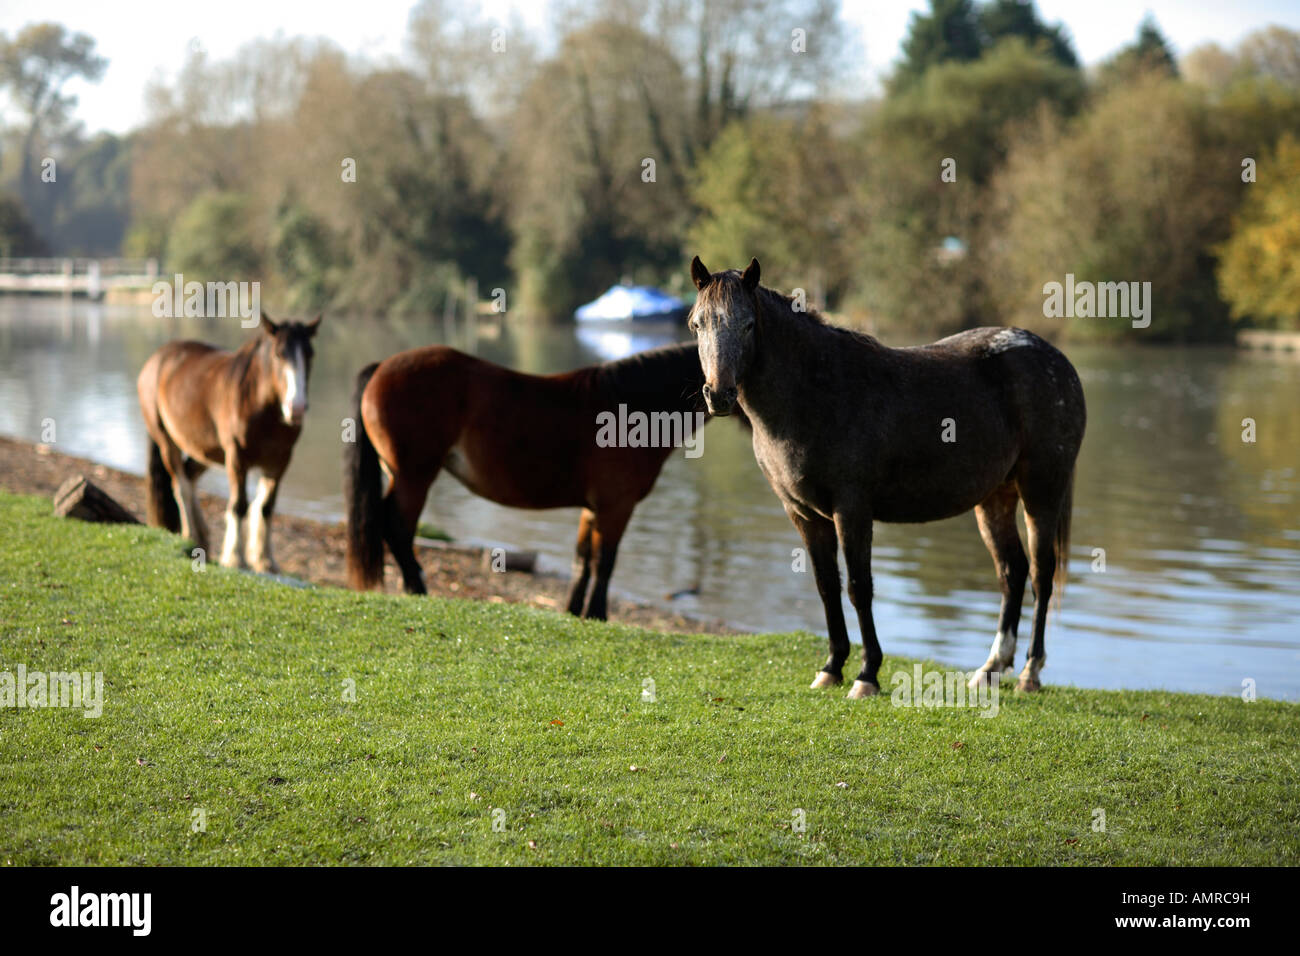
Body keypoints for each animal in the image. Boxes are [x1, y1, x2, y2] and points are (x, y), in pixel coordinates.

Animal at [136, 314, 319, 572]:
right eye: (278, 354)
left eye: (310, 354)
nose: (297, 408)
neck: (262, 407)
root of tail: (157, 358)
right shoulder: (237, 458)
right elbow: (239, 505)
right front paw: (235, 558)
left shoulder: (280, 461)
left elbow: (266, 507)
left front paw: (265, 559)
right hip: (166, 441)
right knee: (180, 484)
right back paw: (191, 536)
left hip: (204, 450)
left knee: (189, 477)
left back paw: (201, 538)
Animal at [691, 257, 1086, 697]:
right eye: (697, 324)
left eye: (748, 324)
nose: (718, 395)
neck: (816, 393)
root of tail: (1055, 359)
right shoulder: (803, 514)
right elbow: (826, 587)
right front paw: (831, 667)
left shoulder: (852, 510)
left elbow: (858, 588)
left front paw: (867, 675)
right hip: (995, 497)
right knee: (1011, 573)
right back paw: (990, 668)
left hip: (1042, 491)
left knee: (1041, 574)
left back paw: (1029, 673)